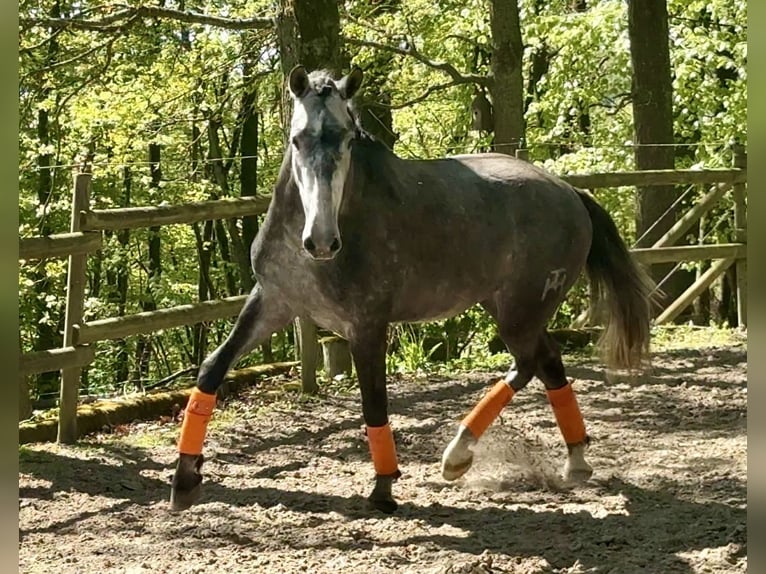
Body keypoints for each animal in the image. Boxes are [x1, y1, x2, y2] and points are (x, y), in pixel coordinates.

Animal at [170, 65, 654, 514]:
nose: (322, 241)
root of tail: (570, 192)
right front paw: (184, 480)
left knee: (534, 361)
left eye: (347, 140)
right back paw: (559, 462)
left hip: (521, 310)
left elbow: (374, 402)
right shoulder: (274, 302)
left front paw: (383, 489)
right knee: (546, 362)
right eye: (297, 140)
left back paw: (466, 455)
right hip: (509, 306)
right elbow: (212, 368)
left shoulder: (366, 323)